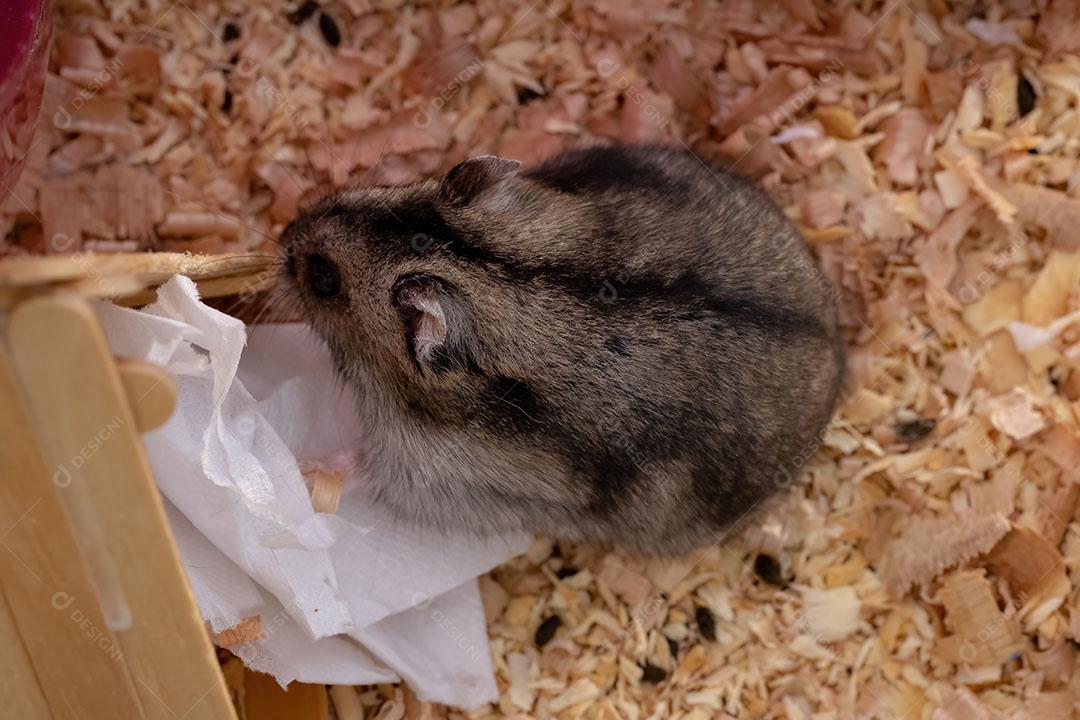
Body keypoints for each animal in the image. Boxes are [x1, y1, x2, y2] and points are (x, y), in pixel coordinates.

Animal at [278, 144, 844, 554]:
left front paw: (302, 468)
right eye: (361, 194)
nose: (283, 235)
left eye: (324, 279)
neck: (482, 273)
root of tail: (836, 358)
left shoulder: (424, 470)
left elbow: (355, 462)